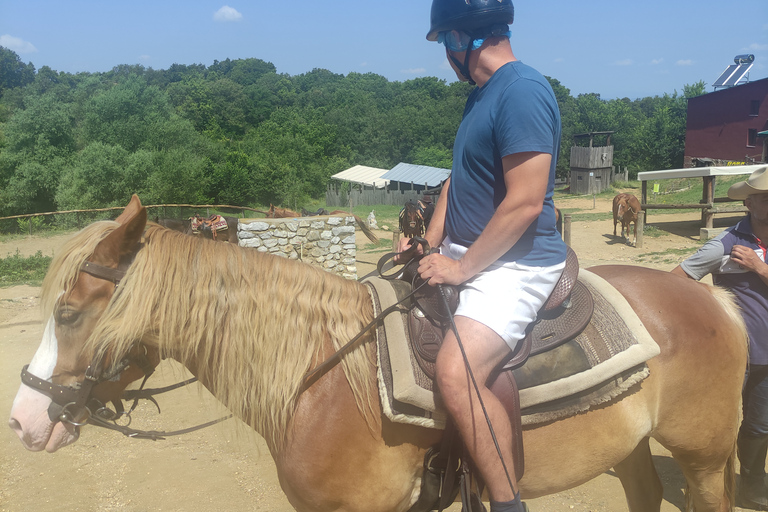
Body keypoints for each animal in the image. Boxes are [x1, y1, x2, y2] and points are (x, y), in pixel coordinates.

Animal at [7, 196, 752, 512]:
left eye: (70, 314)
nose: (22, 421)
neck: (324, 381)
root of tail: (707, 297)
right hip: (632, 447)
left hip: (703, 455)